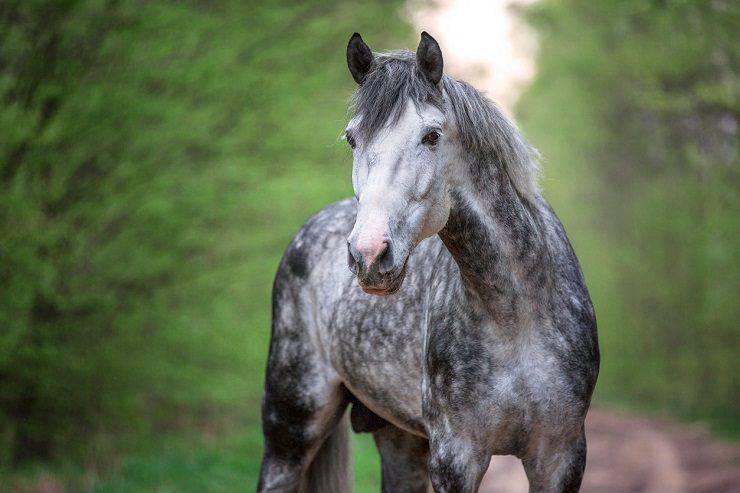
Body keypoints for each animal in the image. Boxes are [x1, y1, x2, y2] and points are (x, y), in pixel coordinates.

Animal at [258, 31, 600, 492]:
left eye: (432, 136)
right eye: (352, 138)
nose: (369, 255)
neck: (517, 317)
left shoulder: (560, 456)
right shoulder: (455, 457)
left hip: (399, 442)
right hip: (291, 430)